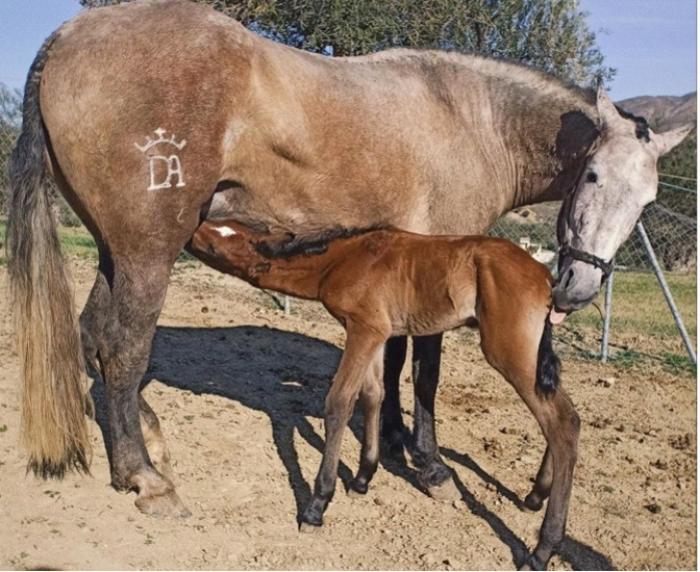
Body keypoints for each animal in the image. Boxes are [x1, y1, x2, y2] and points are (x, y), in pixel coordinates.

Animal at [189, 220, 584, 572]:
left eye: (221, 241)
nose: (194, 225)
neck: (343, 259)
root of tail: (546, 278)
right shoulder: (376, 332)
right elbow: (372, 395)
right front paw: (363, 477)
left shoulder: (364, 328)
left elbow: (339, 402)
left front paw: (317, 505)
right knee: (565, 414)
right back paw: (535, 496)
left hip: (509, 352)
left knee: (562, 422)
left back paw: (542, 550)